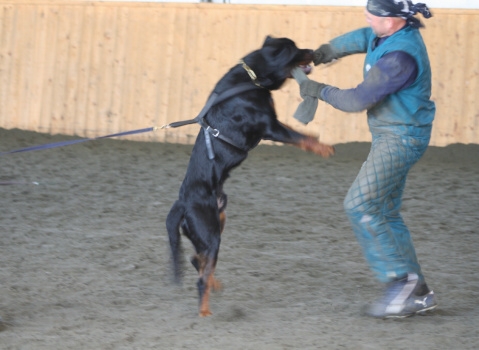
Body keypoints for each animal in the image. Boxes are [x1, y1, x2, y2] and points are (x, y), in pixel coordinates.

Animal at [167, 36, 336, 318]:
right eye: (295, 49)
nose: (313, 51)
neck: (252, 78)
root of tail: (181, 204)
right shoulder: (270, 126)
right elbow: (300, 136)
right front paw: (324, 148)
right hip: (210, 231)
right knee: (201, 272)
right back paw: (205, 311)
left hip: (218, 219)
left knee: (198, 260)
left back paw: (214, 284)